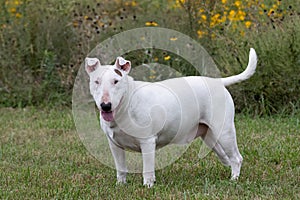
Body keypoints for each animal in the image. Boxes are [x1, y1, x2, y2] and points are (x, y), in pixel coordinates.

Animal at [85, 48, 258, 188]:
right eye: (96, 81)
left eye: (116, 81)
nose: (105, 106)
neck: (125, 105)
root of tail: (217, 82)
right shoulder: (114, 144)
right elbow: (120, 167)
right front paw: (120, 185)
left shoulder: (147, 141)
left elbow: (148, 168)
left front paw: (148, 186)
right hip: (209, 135)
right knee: (225, 156)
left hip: (225, 131)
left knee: (236, 157)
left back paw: (234, 180)